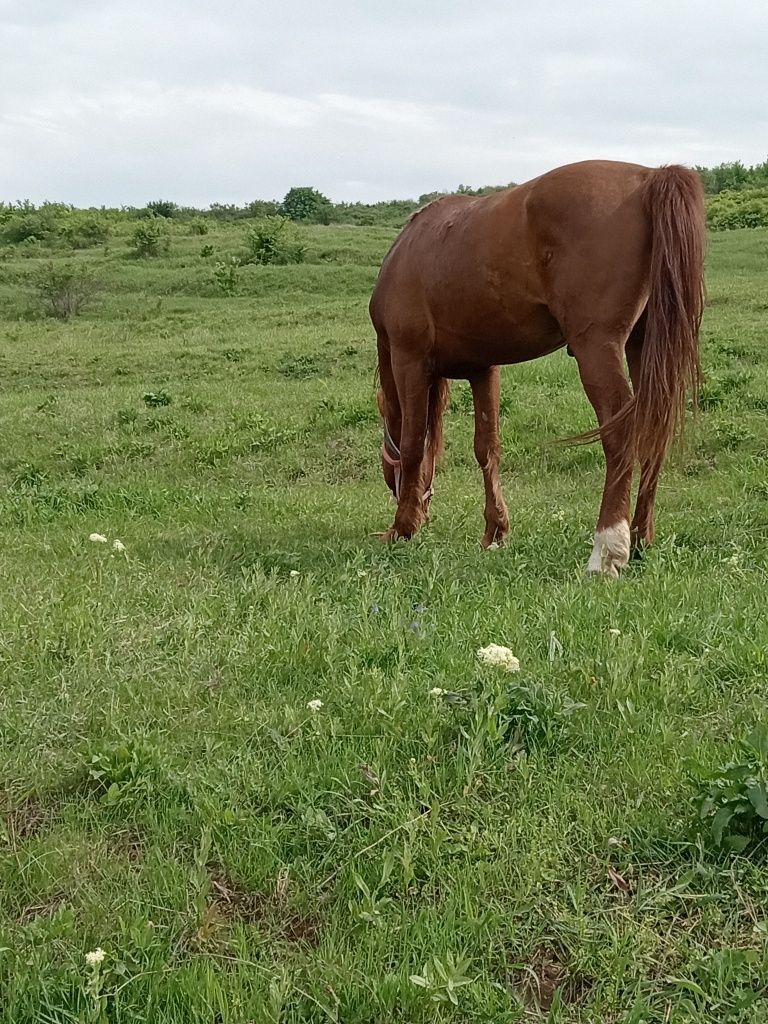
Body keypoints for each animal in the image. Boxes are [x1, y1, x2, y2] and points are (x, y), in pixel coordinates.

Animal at [370, 157, 708, 577]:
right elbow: (487, 448)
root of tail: (650, 177)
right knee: (652, 430)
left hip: (597, 347)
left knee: (620, 433)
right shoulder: (483, 370)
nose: (421, 514)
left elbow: (414, 444)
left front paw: (401, 527)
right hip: (641, 345)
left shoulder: (409, 360)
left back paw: (607, 549)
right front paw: (495, 530)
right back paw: (641, 538)